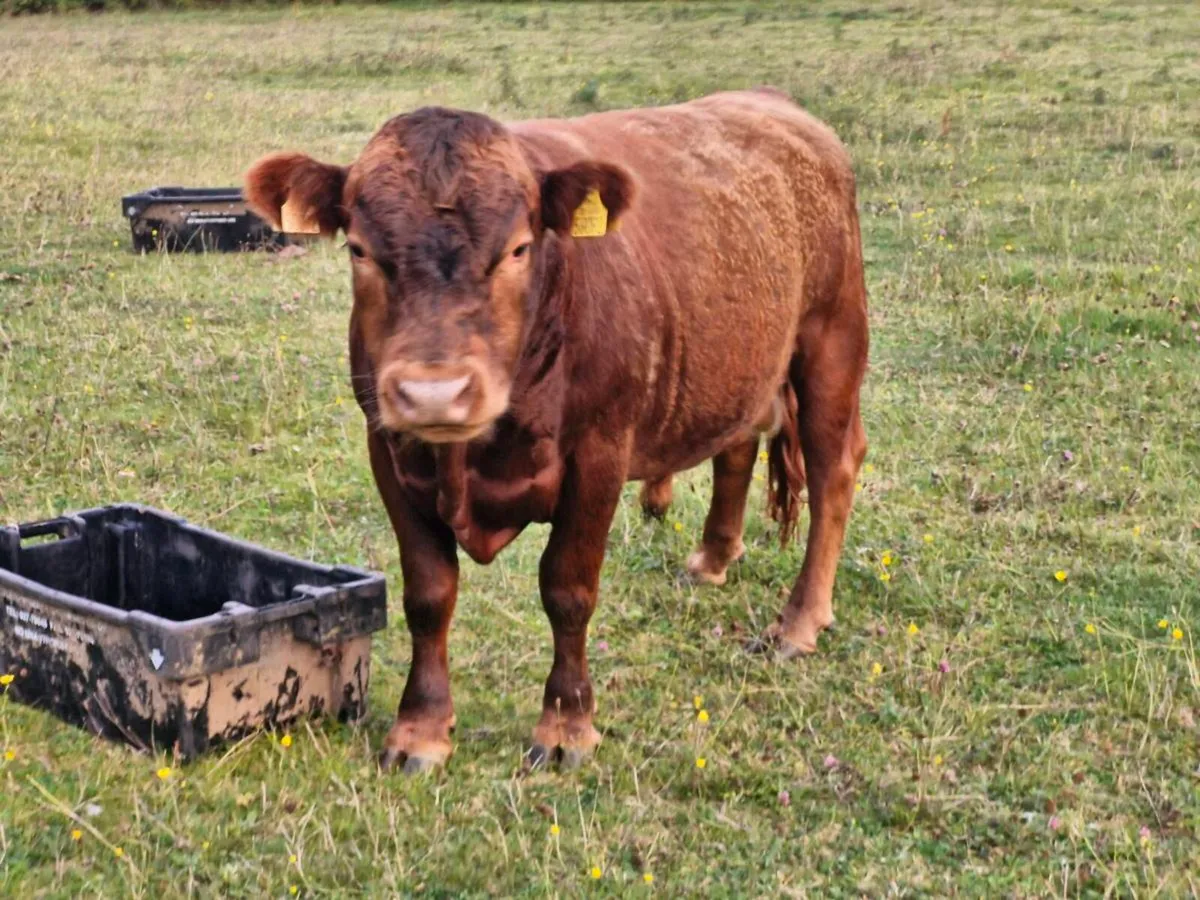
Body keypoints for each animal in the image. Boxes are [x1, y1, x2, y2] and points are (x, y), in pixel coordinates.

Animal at [245, 88, 869, 774]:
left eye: (519, 248)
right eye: (358, 249)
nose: (436, 392)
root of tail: (773, 103)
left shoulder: (599, 455)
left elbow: (567, 589)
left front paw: (567, 724)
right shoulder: (389, 448)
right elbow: (429, 594)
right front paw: (420, 728)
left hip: (832, 340)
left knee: (834, 471)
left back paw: (800, 622)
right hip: (740, 354)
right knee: (736, 445)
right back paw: (712, 558)